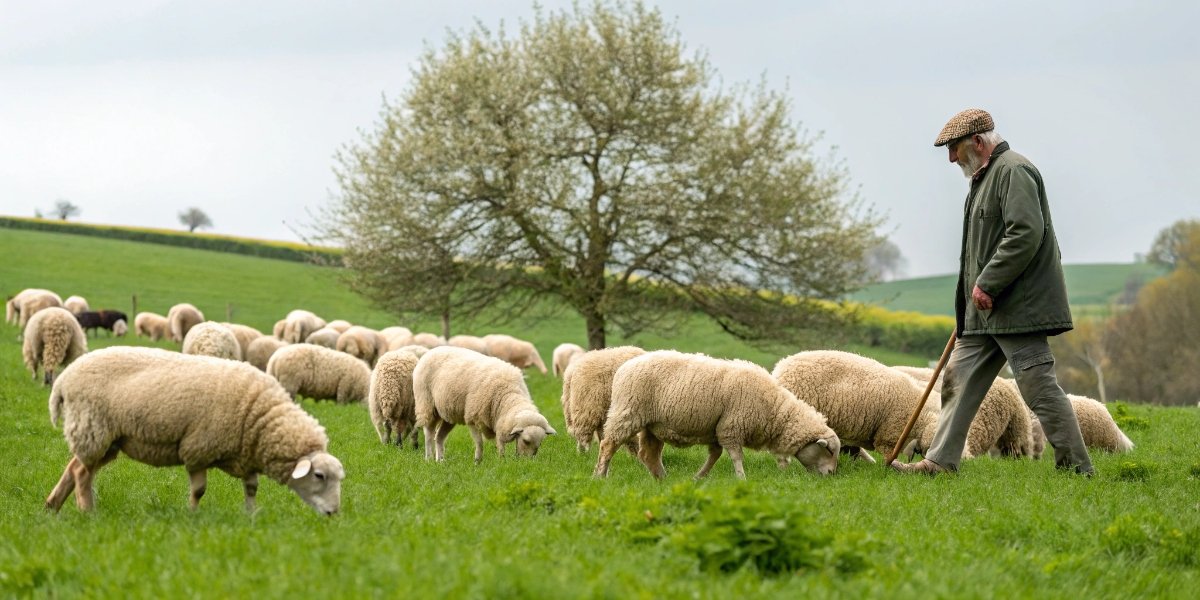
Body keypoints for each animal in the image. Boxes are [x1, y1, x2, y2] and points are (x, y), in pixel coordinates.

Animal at [44, 347, 344, 514]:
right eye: (319, 475)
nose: (334, 513)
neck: (260, 417)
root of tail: (63, 380)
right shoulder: (198, 448)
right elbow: (199, 490)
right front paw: (192, 514)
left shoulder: (246, 456)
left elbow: (251, 488)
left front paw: (251, 515)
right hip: (93, 427)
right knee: (81, 473)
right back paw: (87, 512)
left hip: (107, 438)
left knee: (74, 468)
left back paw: (52, 507)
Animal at [413, 346, 555, 463]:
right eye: (526, 441)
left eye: (540, 444)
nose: (527, 462)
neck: (507, 394)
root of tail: (432, 350)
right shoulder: (473, 418)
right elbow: (480, 443)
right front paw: (478, 461)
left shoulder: (498, 420)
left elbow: (499, 444)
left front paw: (501, 460)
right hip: (427, 404)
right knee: (429, 434)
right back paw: (429, 458)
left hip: (449, 413)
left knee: (439, 437)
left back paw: (441, 460)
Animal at [595, 350, 840, 480]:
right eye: (829, 451)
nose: (831, 474)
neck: (774, 411)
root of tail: (625, 366)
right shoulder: (732, 426)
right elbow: (736, 456)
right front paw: (741, 479)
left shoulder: (717, 429)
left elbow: (715, 455)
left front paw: (699, 478)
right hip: (627, 413)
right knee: (608, 444)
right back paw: (600, 475)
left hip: (653, 425)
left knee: (649, 453)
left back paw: (662, 479)